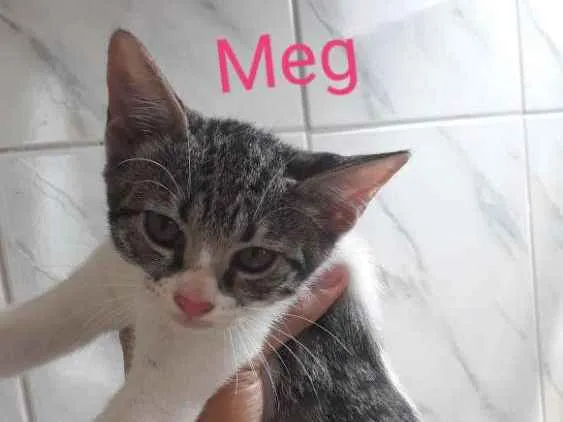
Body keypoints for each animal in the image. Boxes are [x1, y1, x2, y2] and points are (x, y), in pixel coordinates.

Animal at [0, 29, 421, 422]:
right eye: (162, 228)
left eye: (255, 257)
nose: (193, 301)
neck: (149, 307)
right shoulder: (114, 270)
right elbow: (38, 322)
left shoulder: (230, 336)